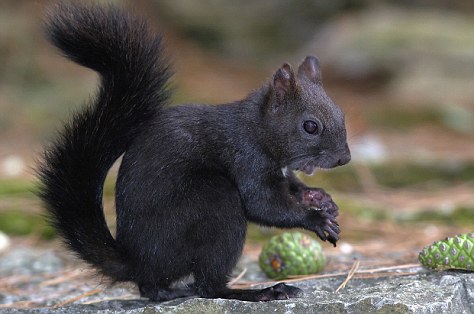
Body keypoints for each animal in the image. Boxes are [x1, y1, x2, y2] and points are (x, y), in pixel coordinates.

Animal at [37, 2, 350, 302]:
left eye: (341, 113)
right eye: (310, 126)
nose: (344, 158)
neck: (258, 130)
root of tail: (137, 260)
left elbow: (292, 187)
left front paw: (320, 198)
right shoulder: (246, 159)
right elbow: (264, 205)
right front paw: (315, 219)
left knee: (151, 288)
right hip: (214, 204)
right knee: (205, 286)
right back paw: (257, 292)